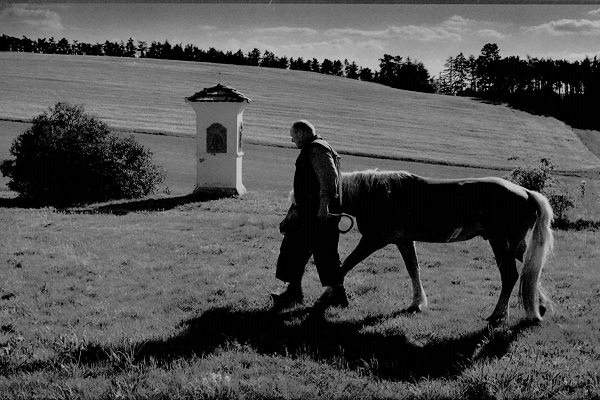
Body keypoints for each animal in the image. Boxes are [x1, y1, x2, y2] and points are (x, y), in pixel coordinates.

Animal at [336, 169, 556, 324]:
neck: (375, 194)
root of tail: (526, 192)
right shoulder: (404, 241)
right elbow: (413, 269)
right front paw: (417, 303)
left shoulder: (372, 240)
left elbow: (345, 265)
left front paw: (333, 294)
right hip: (515, 247)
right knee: (530, 271)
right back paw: (538, 307)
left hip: (501, 244)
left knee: (510, 276)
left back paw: (497, 314)